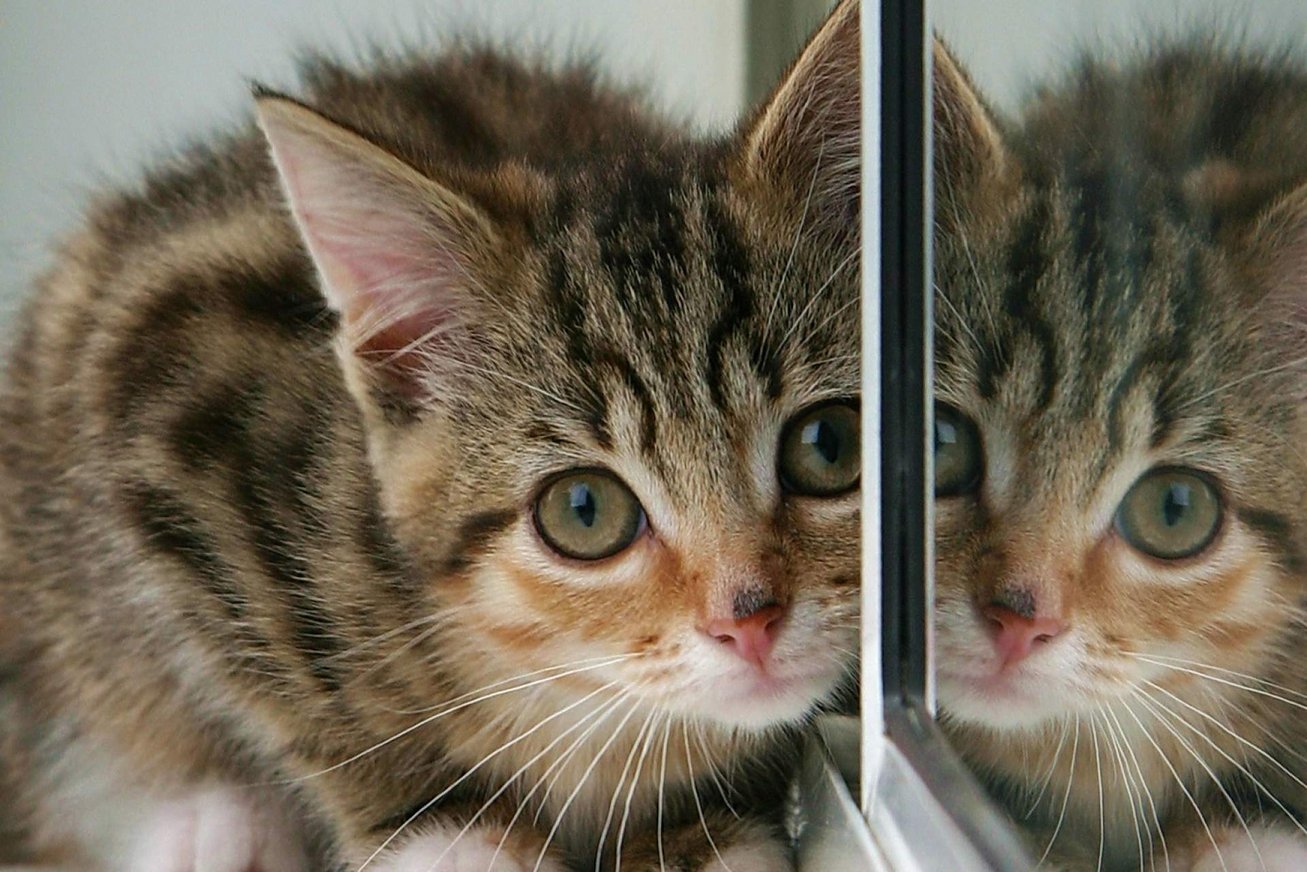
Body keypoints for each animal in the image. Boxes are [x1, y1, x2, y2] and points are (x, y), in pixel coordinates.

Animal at [0, 2, 860, 870]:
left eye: (828, 447)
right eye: (584, 511)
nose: (748, 624)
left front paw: (694, 833)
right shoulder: (160, 382)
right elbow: (293, 692)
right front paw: (452, 830)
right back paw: (215, 825)